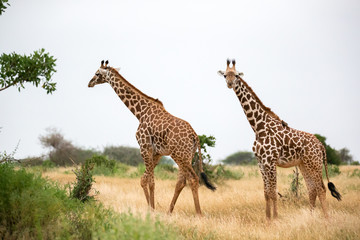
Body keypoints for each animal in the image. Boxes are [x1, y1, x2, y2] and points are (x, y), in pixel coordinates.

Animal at [88, 60, 215, 216]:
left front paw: (151, 210)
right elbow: (145, 179)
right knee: (181, 182)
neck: (140, 113)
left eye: (97, 73)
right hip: (187, 155)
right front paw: (151, 208)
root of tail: (195, 136)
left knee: (193, 178)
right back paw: (169, 211)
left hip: (179, 155)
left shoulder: (144, 147)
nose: (89, 83)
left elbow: (149, 181)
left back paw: (198, 213)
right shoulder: (157, 153)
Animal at [218, 59, 342, 219]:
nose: (229, 83)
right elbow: (266, 193)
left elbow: (273, 193)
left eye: (237, 75)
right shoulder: (261, 162)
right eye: (225, 75)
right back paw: (311, 216)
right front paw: (267, 218)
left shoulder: (271, 161)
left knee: (320, 188)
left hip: (314, 164)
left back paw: (326, 218)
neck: (258, 127)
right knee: (312, 189)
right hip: (304, 164)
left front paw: (275, 218)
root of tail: (321, 145)